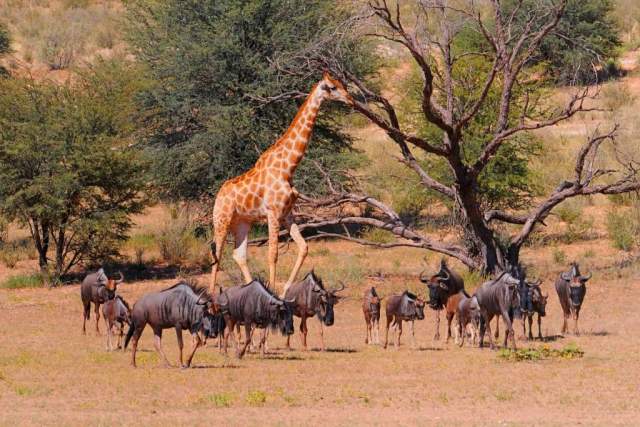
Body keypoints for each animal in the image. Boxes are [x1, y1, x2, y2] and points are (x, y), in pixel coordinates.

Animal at [210, 72, 352, 296]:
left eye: (342, 84)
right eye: (332, 87)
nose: (351, 100)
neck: (288, 167)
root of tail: (218, 195)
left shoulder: (287, 213)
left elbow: (303, 248)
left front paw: (284, 292)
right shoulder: (273, 212)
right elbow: (273, 254)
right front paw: (273, 293)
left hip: (242, 222)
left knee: (238, 255)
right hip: (221, 220)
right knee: (216, 255)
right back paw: (210, 297)